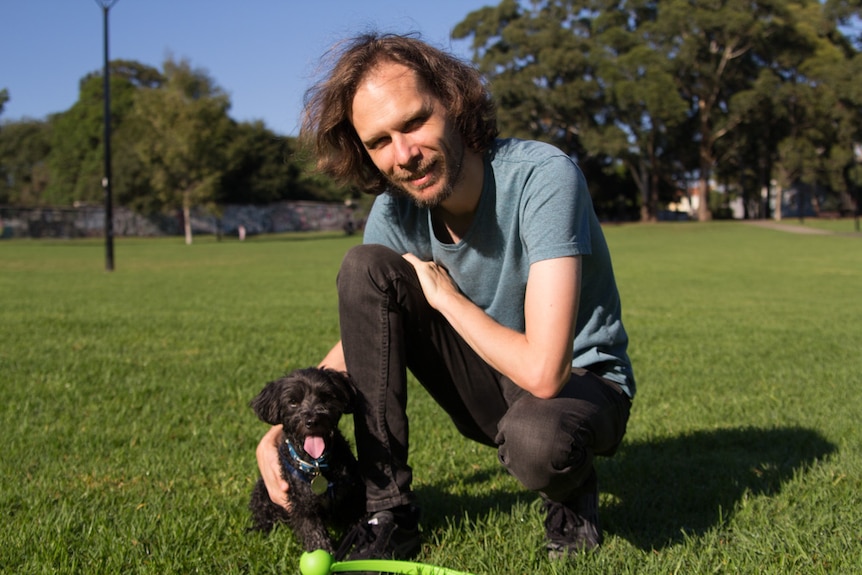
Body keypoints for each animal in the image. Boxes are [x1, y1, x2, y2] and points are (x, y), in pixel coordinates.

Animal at [248, 368, 366, 552]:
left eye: (325, 396)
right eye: (293, 402)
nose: (312, 421)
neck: (317, 465)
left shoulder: (353, 492)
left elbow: (358, 518)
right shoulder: (303, 506)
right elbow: (314, 534)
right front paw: (326, 553)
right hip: (262, 492)